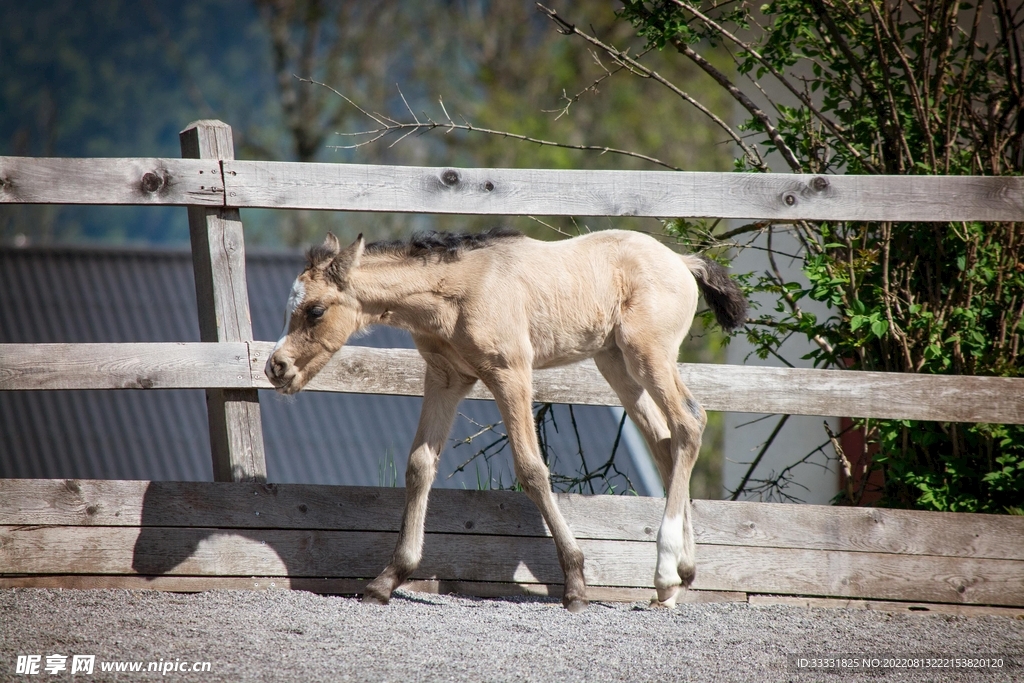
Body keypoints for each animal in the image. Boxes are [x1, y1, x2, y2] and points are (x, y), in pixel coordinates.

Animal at [265, 227, 746, 612]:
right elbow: (420, 465)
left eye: (315, 310)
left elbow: (531, 470)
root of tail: (682, 261)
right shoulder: (446, 378)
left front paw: (575, 584)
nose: (276, 368)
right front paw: (387, 579)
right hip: (616, 363)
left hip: (648, 354)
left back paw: (665, 573)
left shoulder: (510, 373)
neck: (457, 291)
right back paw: (678, 579)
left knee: (689, 423)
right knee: (665, 441)